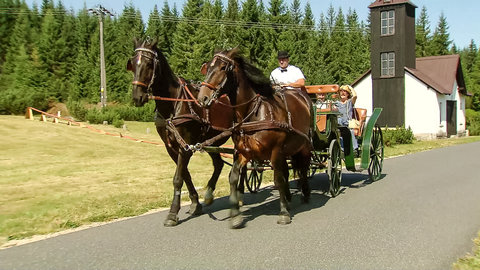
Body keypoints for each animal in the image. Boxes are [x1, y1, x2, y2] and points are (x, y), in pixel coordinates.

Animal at [126, 39, 233, 226]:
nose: (137, 97)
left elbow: (178, 178)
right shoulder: (172, 147)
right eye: (132, 63)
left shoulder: (185, 146)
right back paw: (209, 194)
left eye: (149, 64)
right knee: (219, 164)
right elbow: (185, 175)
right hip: (211, 141)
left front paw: (172, 212)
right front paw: (195, 203)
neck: (174, 102)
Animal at [198, 49, 314, 228]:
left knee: (303, 167)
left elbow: (278, 179)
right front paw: (235, 214)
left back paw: (305, 193)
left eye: (223, 67)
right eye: (208, 67)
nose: (202, 98)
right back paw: (289, 197)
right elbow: (233, 176)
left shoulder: (275, 151)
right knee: (289, 171)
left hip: (304, 146)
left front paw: (283, 213)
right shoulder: (243, 152)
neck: (252, 113)